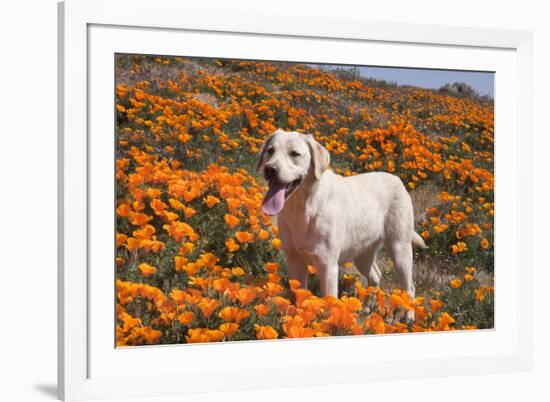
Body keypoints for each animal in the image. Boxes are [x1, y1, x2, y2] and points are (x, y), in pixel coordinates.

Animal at [256, 129, 430, 304]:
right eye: (270, 150)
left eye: (294, 154)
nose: (270, 169)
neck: (303, 208)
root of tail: (397, 179)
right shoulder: (294, 261)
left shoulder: (328, 266)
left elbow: (329, 303)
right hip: (362, 253)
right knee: (375, 276)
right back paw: (366, 307)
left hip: (400, 249)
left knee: (410, 288)